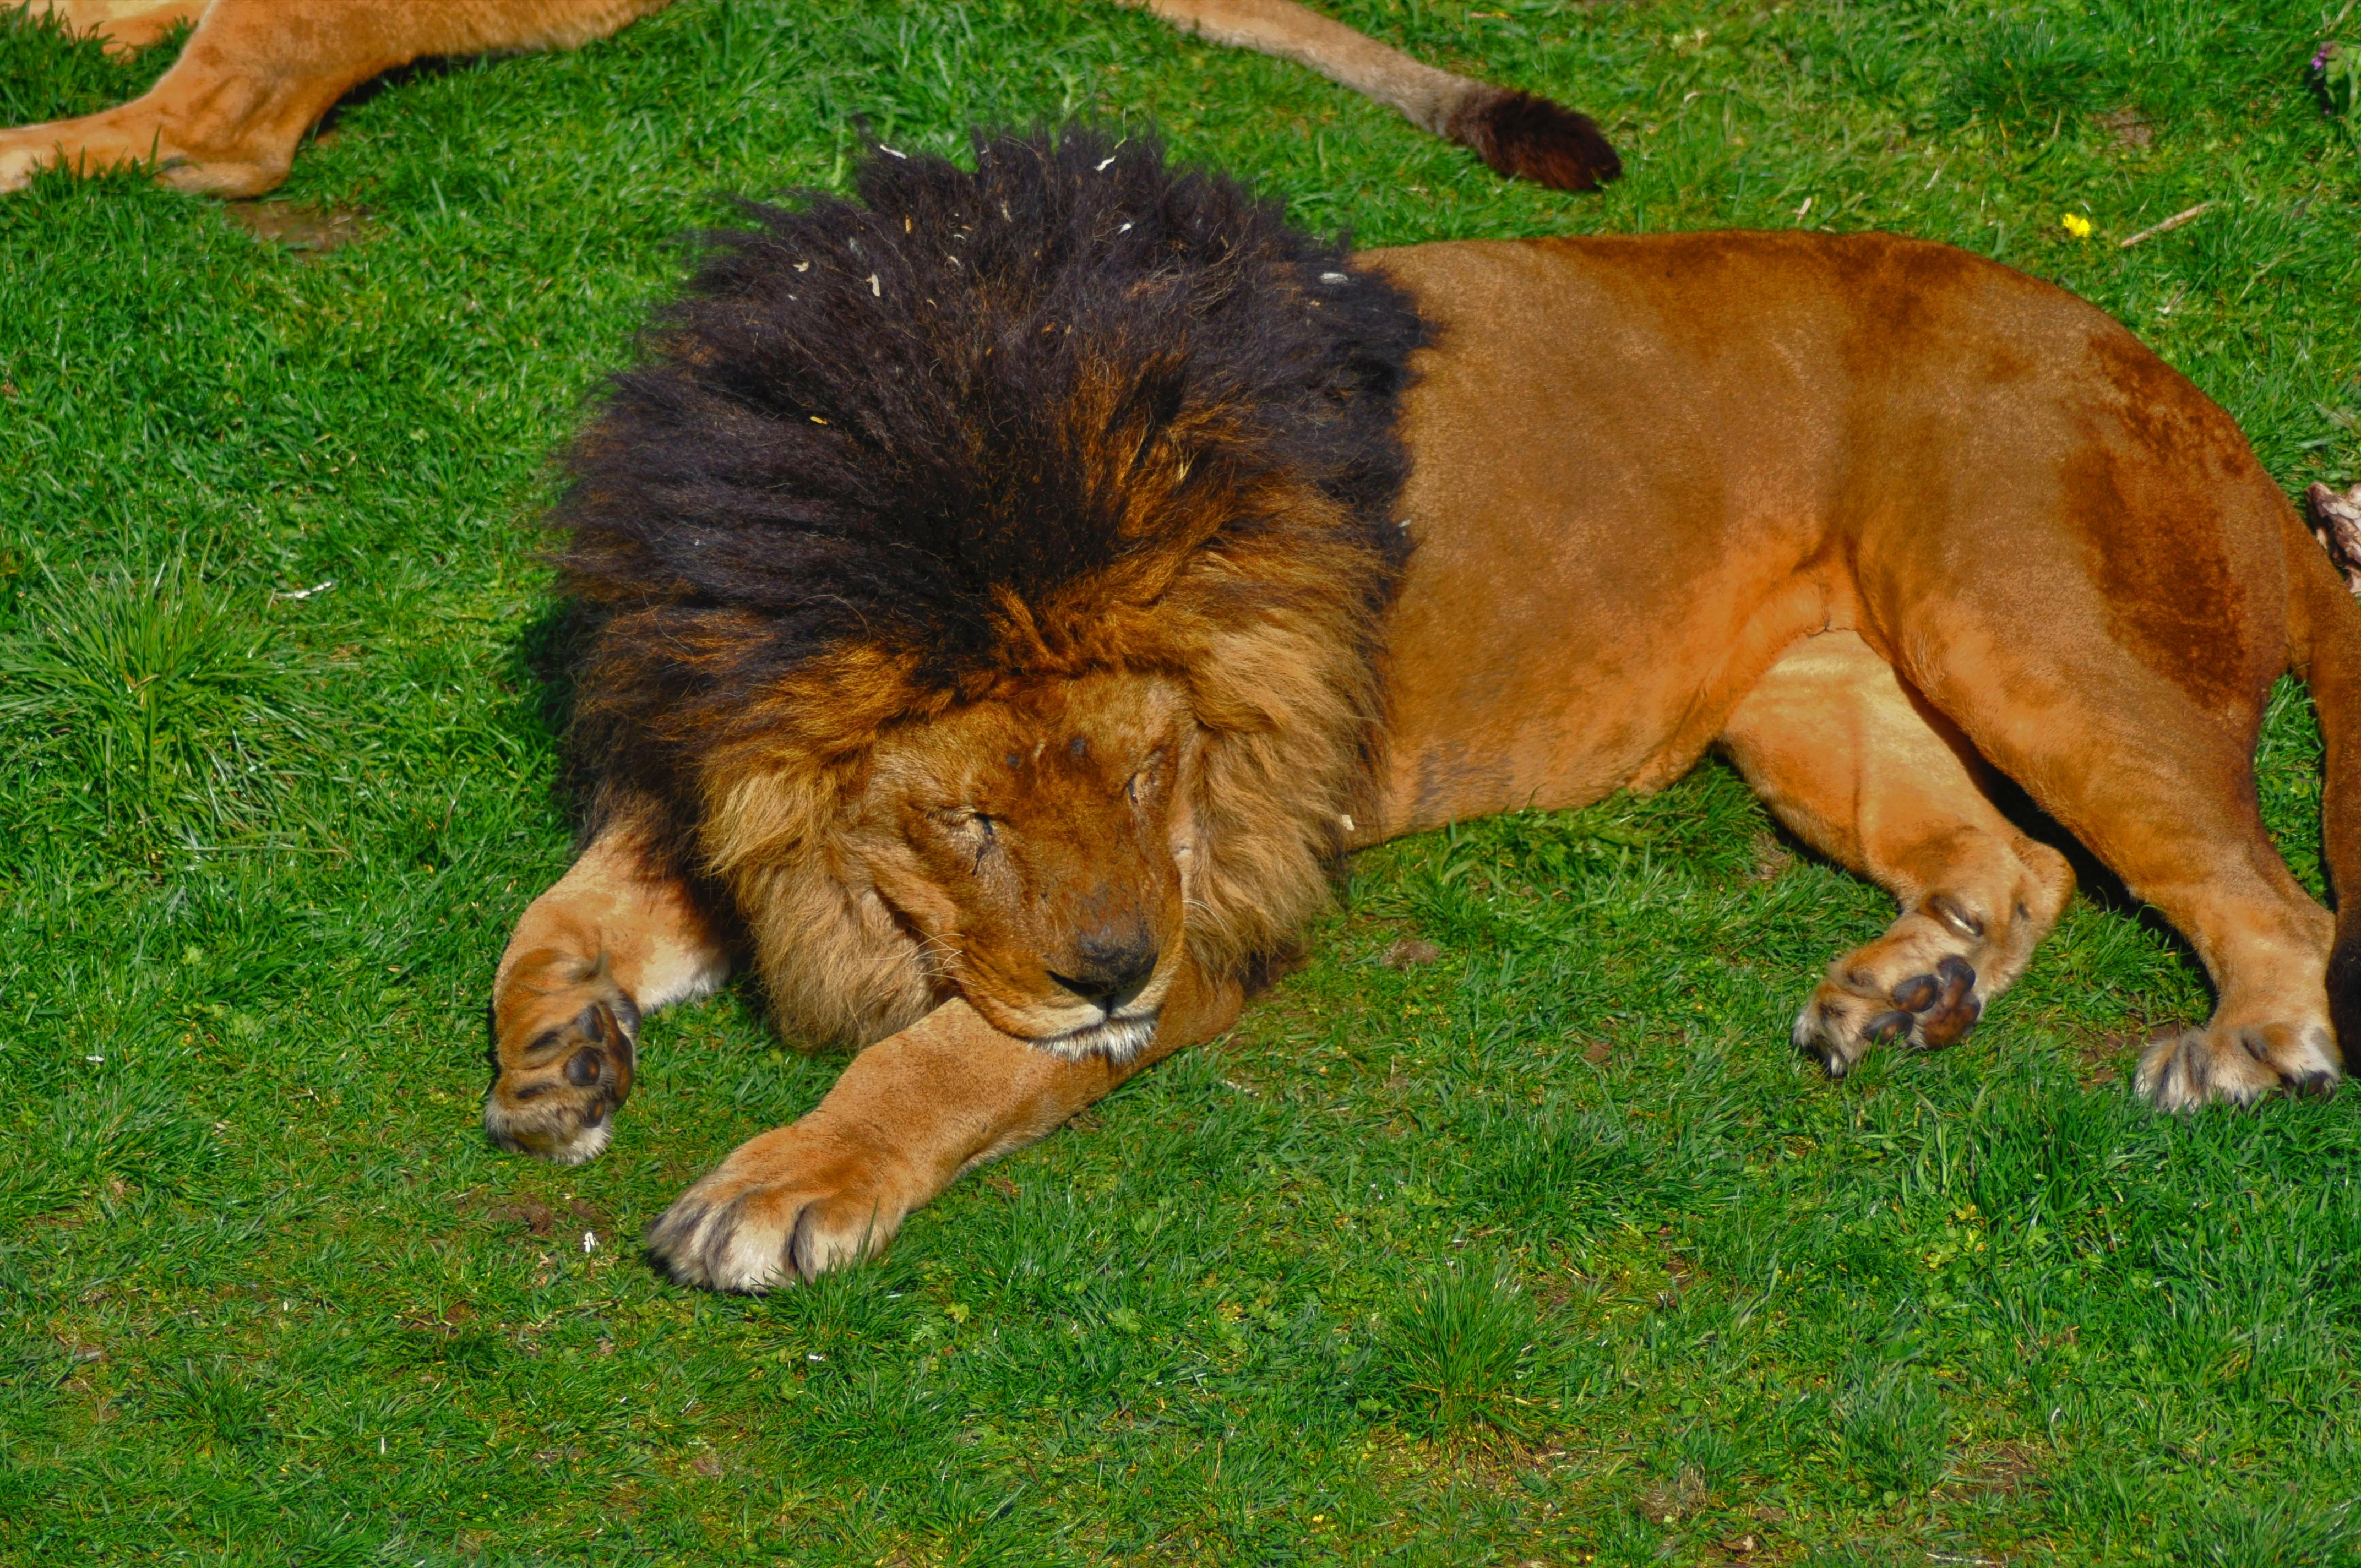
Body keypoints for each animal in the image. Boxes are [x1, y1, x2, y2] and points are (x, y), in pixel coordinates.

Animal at [479, 134, 2361, 1294]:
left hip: (2024, 616)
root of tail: (2199, 407)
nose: (1112, 972)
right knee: (2013, 866)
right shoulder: (717, 744)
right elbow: (565, 907)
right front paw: (558, 1054)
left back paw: (2242, 1047)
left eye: (1152, 773)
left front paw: (781, 1185)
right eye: (971, 818)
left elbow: (944, 1055)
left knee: (2273, 899)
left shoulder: (1228, 893)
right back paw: (1907, 992)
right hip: (1808, 701)